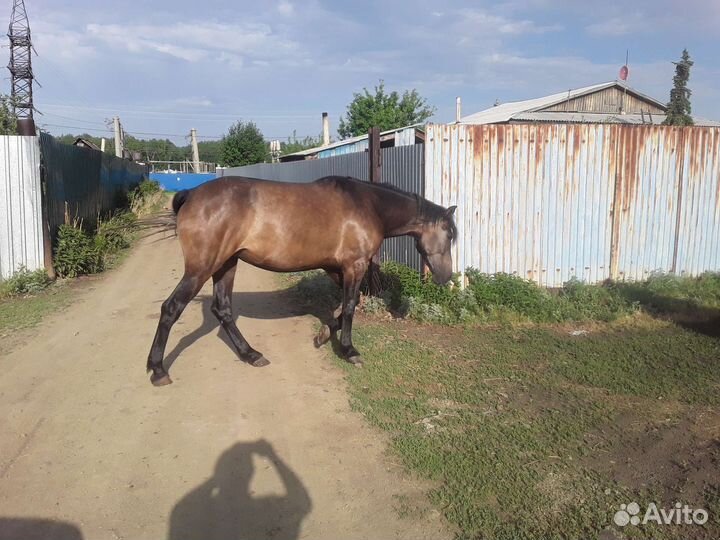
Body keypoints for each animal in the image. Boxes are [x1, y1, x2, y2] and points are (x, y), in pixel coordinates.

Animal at [146, 175, 457, 386]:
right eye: (450, 234)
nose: (446, 277)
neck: (368, 205)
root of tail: (191, 194)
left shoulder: (336, 268)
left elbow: (345, 305)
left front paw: (324, 334)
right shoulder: (354, 266)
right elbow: (350, 306)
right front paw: (349, 350)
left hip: (227, 265)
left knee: (222, 310)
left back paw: (251, 355)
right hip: (201, 268)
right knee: (171, 308)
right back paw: (158, 369)